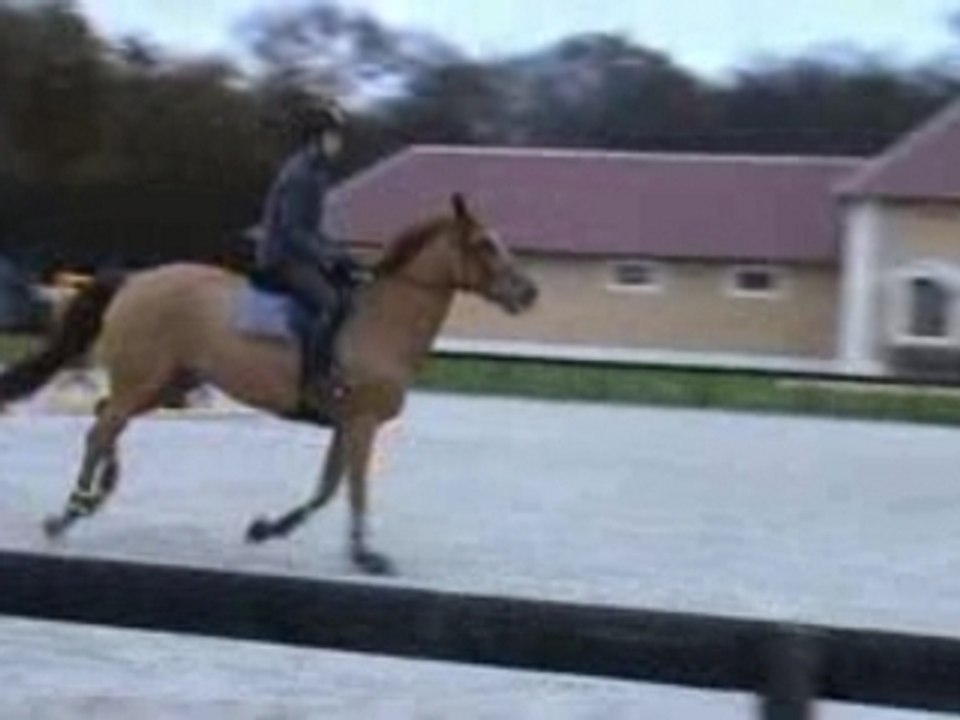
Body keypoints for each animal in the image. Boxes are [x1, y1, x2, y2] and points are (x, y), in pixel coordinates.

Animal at [0, 193, 539, 574]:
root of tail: (137, 280)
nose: (528, 292)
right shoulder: (362, 422)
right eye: (484, 245)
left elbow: (326, 488)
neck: (381, 323)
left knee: (106, 420)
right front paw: (367, 557)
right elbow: (355, 489)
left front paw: (267, 529)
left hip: (164, 386)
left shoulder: (347, 423)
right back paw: (69, 512)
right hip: (145, 380)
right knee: (102, 428)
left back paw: (96, 497)